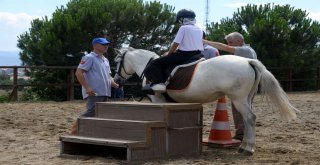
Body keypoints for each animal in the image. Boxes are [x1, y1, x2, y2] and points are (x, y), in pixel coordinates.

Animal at [114, 47, 298, 155]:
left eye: (117, 62)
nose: (116, 80)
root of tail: (248, 60)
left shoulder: (157, 100)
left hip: (238, 99)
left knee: (250, 118)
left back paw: (248, 148)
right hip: (247, 98)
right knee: (247, 120)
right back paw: (244, 145)